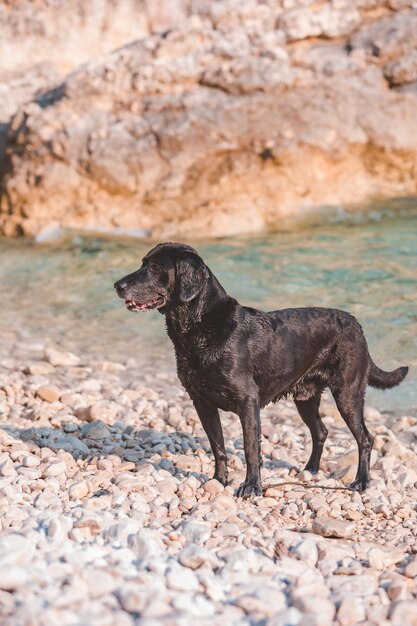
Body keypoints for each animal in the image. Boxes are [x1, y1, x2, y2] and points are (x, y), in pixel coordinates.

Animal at [114, 243, 406, 498]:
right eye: (143, 263)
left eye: (154, 268)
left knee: (365, 438)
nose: (117, 285)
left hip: (348, 393)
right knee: (321, 431)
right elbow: (218, 447)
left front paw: (251, 487)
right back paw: (311, 470)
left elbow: (251, 448)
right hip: (306, 397)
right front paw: (219, 480)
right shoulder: (202, 403)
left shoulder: (247, 402)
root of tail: (356, 323)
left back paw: (361, 482)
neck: (199, 327)